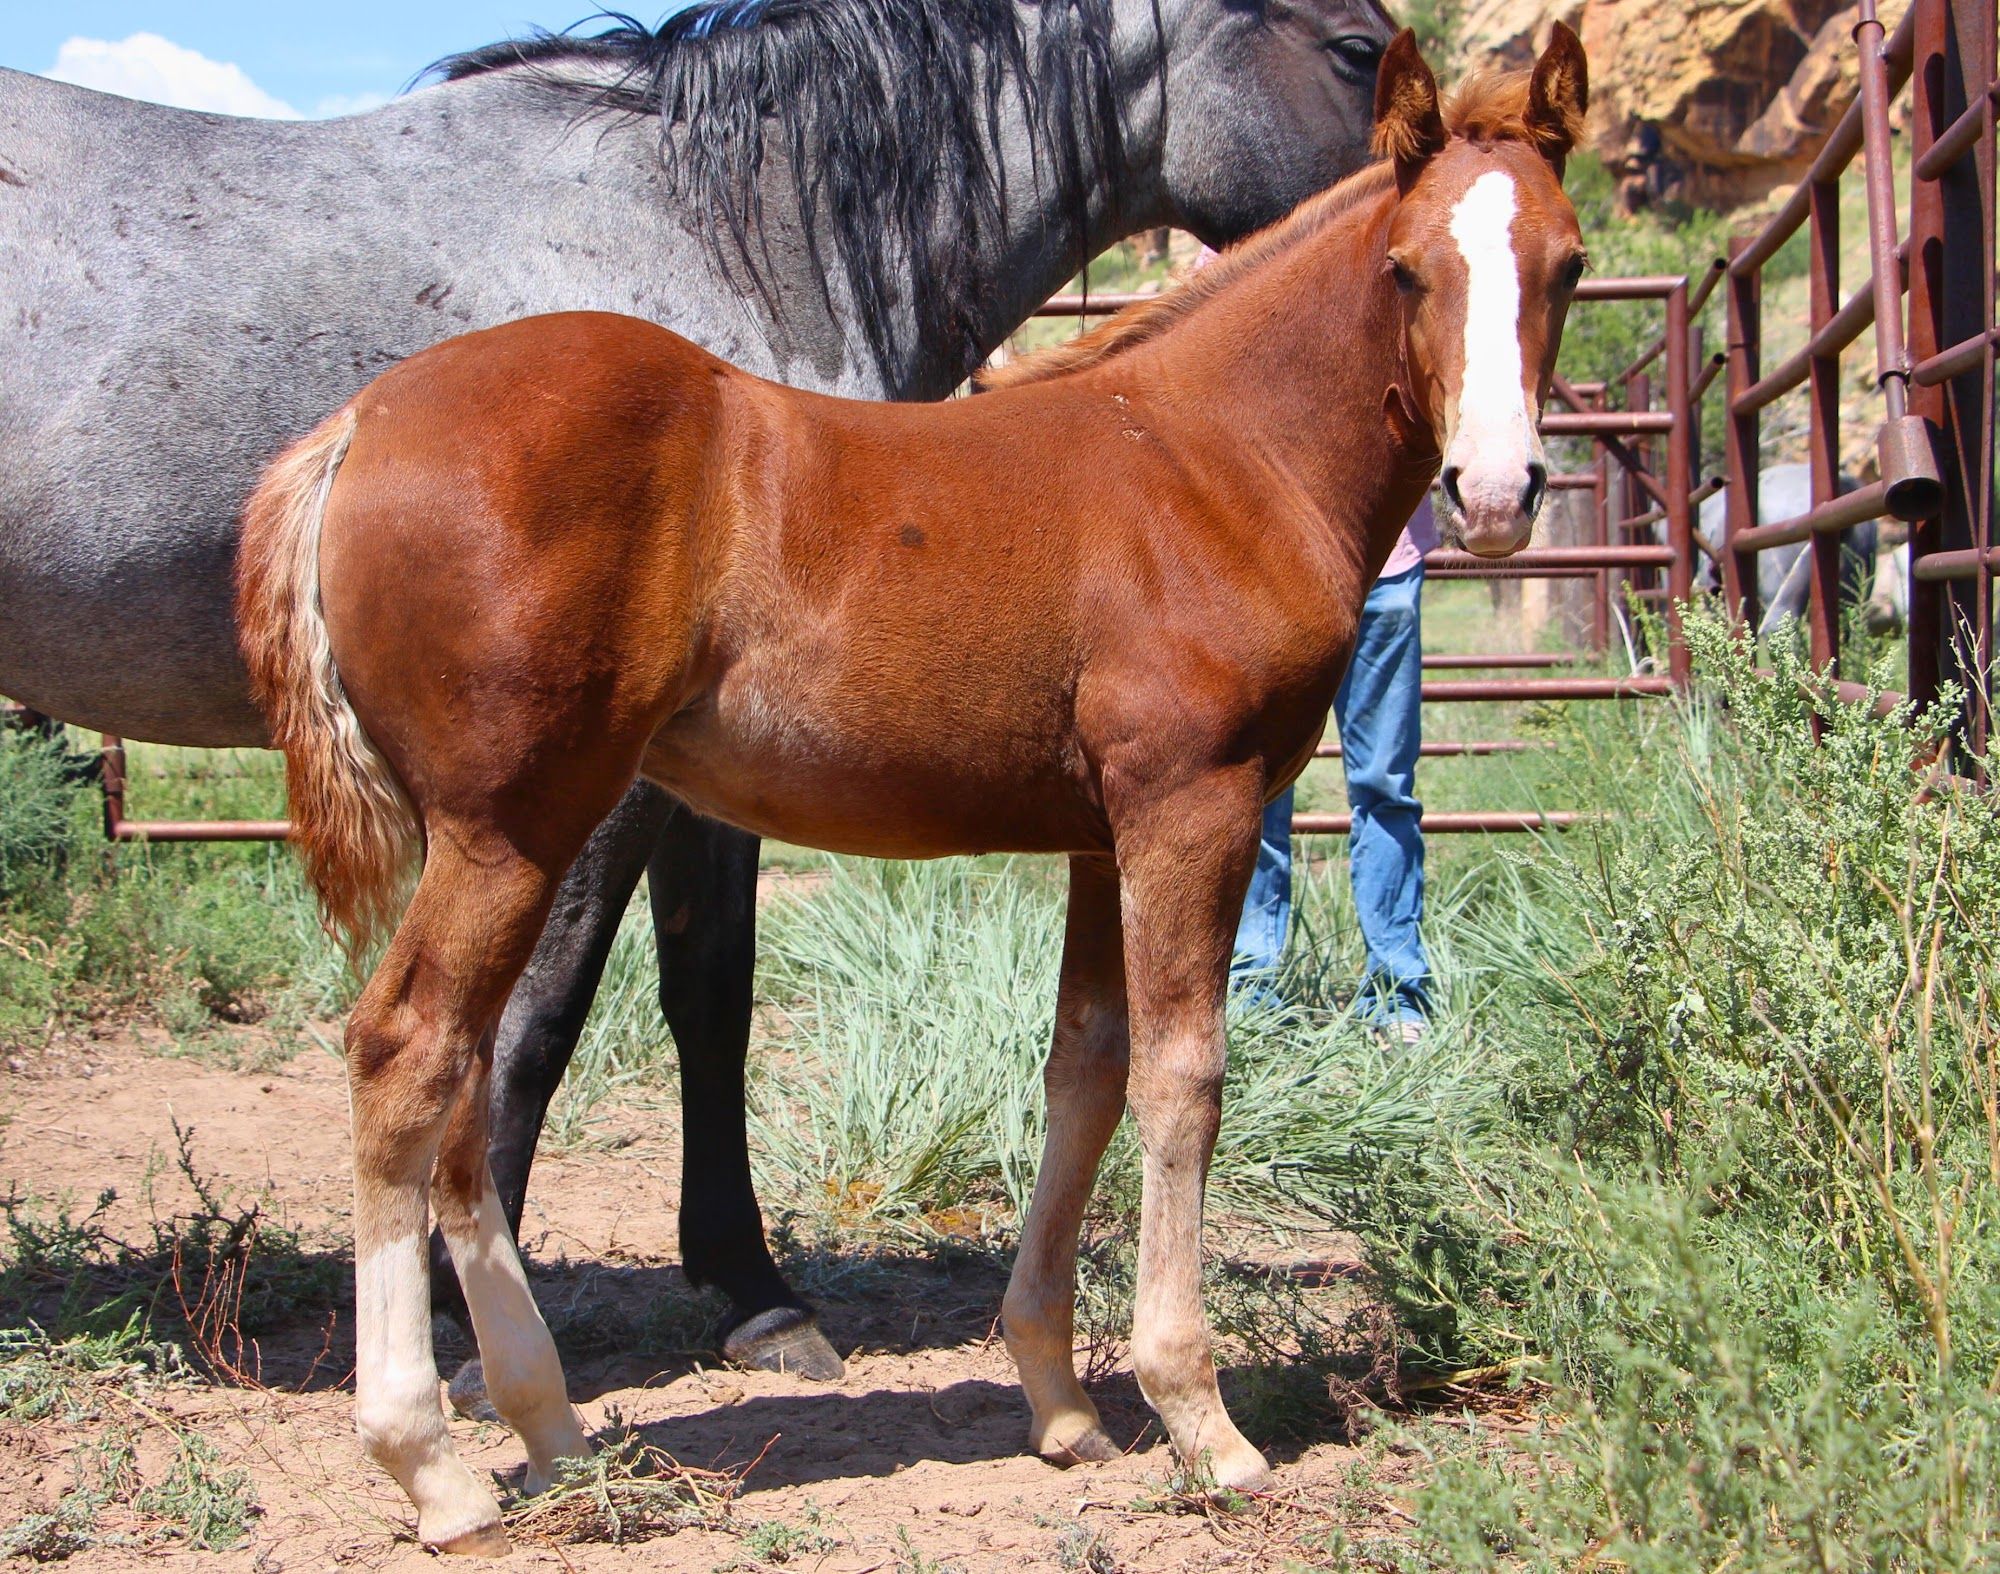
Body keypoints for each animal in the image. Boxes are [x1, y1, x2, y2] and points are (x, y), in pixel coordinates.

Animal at [0, 0, 1399, 1382]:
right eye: (1352, 49)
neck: (733, 230)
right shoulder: (577, 789)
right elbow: (533, 1018)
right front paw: (468, 1308)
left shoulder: (716, 764)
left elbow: (709, 994)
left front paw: (750, 1287)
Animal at [235, 27, 1589, 1551]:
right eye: (1409, 268)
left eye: (1568, 263)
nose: (1496, 489)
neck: (1209, 457)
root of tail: (357, 424)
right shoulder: (1193, 803)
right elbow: (1185, 1075)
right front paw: (1199, 1417)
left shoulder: (1100, 834)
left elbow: (1085, 1071)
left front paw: (1059, 1402)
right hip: (511, 827)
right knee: (409, 1054)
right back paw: (434, 1461)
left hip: (504, 835)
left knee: (463, 1075)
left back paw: (548, 1424)